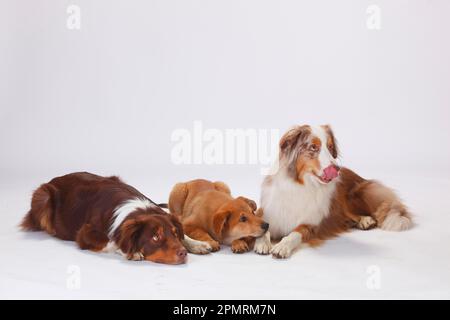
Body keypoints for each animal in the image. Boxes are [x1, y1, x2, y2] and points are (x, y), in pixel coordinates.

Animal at [20, 172, 211, 264]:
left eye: (174, 234)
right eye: (155, 237)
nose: (183, 253)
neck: (139, 210)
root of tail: (56, 178)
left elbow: (185, 235)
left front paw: (197, 244)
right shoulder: (84, 233)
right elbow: (112, 241)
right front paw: (132, 251)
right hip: (43, 197)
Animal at [253, 124, 412, 258]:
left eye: (330, 147)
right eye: (313, 147)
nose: (337, 169)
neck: (302, 185)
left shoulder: (311, 224)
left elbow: (294, 234)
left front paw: (282, 246)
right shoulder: (270, 213)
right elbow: (265, 228)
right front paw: (262, 243)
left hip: (352, 195)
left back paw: (365, 220)